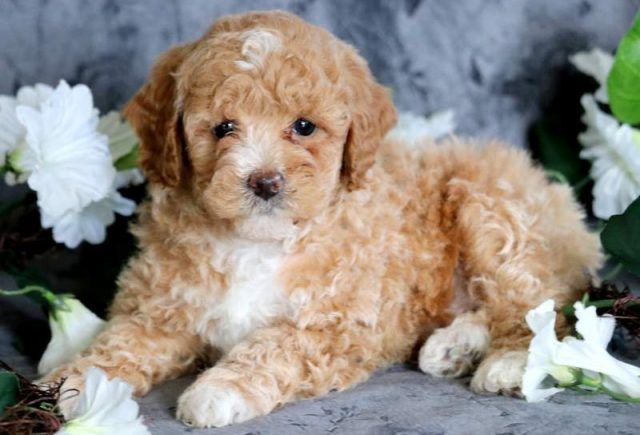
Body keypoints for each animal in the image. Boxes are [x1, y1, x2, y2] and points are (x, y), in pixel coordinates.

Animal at [43, 10, 600, 430]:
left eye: (304, 127)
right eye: (222, 128)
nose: (265, 181)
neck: (256, 241)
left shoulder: (341, 323)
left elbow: (278, 345)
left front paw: (220, 388)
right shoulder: (161, 308)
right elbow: (122, 339)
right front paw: (75, 381)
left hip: (491, 209)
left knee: (540, 305)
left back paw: (509, 363)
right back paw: (453, 348)